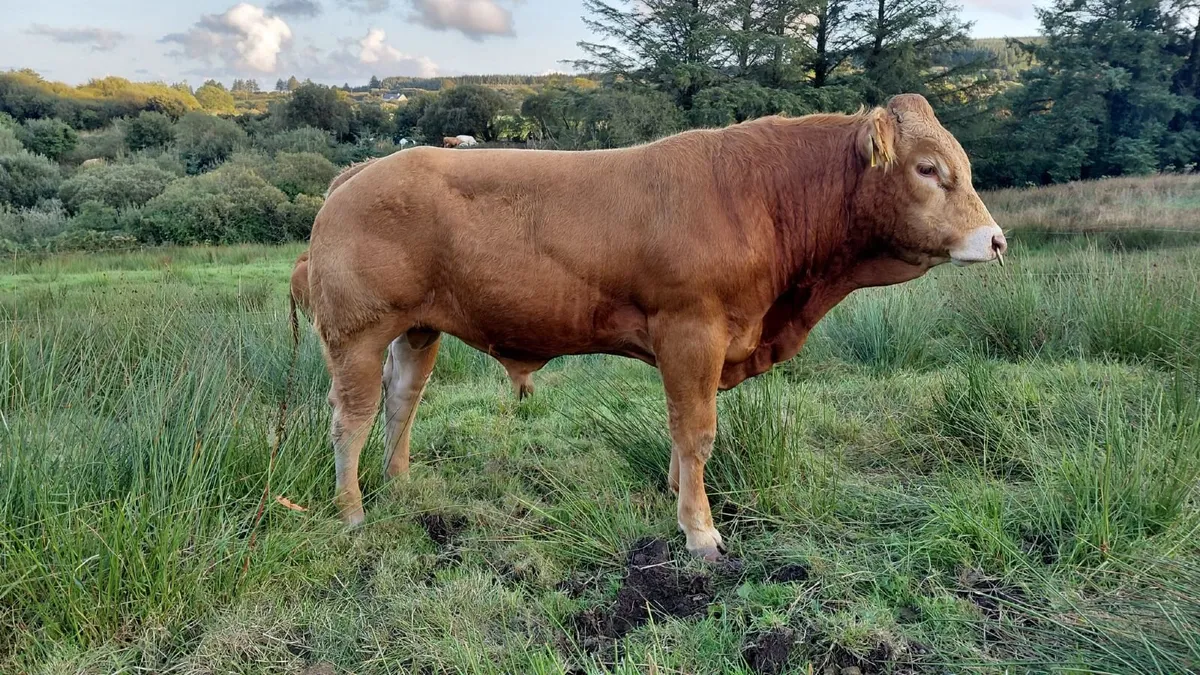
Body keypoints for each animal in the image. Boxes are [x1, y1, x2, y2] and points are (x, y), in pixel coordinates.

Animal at [303, 94, 1006, 559]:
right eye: (927, 168)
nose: (997, 240)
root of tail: (361, 172)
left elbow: (679, 429)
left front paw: (674, 494)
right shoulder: (692, 330)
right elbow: (697, 431)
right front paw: (700, 530)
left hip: (417, 329)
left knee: (402, 401)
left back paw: (401, 486)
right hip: (356, 333)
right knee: (350, 419)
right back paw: (352, 513)